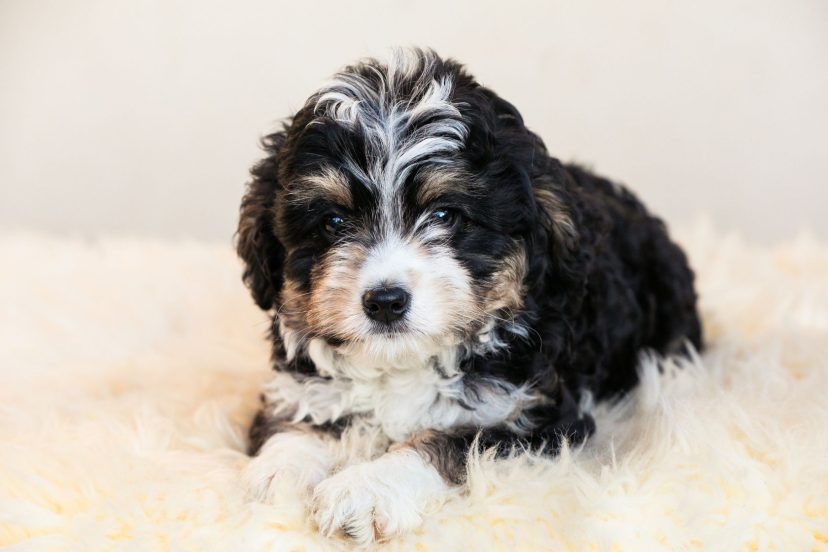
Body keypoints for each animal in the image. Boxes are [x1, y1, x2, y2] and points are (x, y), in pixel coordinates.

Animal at [236, 48, 700, 544]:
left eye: (445, 215)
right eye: (333, 223)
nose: (385, 301)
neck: (404, 363)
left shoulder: (532, 416)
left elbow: (453, 443)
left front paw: (366, 489)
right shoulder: (300, 382)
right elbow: (297, 417)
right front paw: (278, 472)